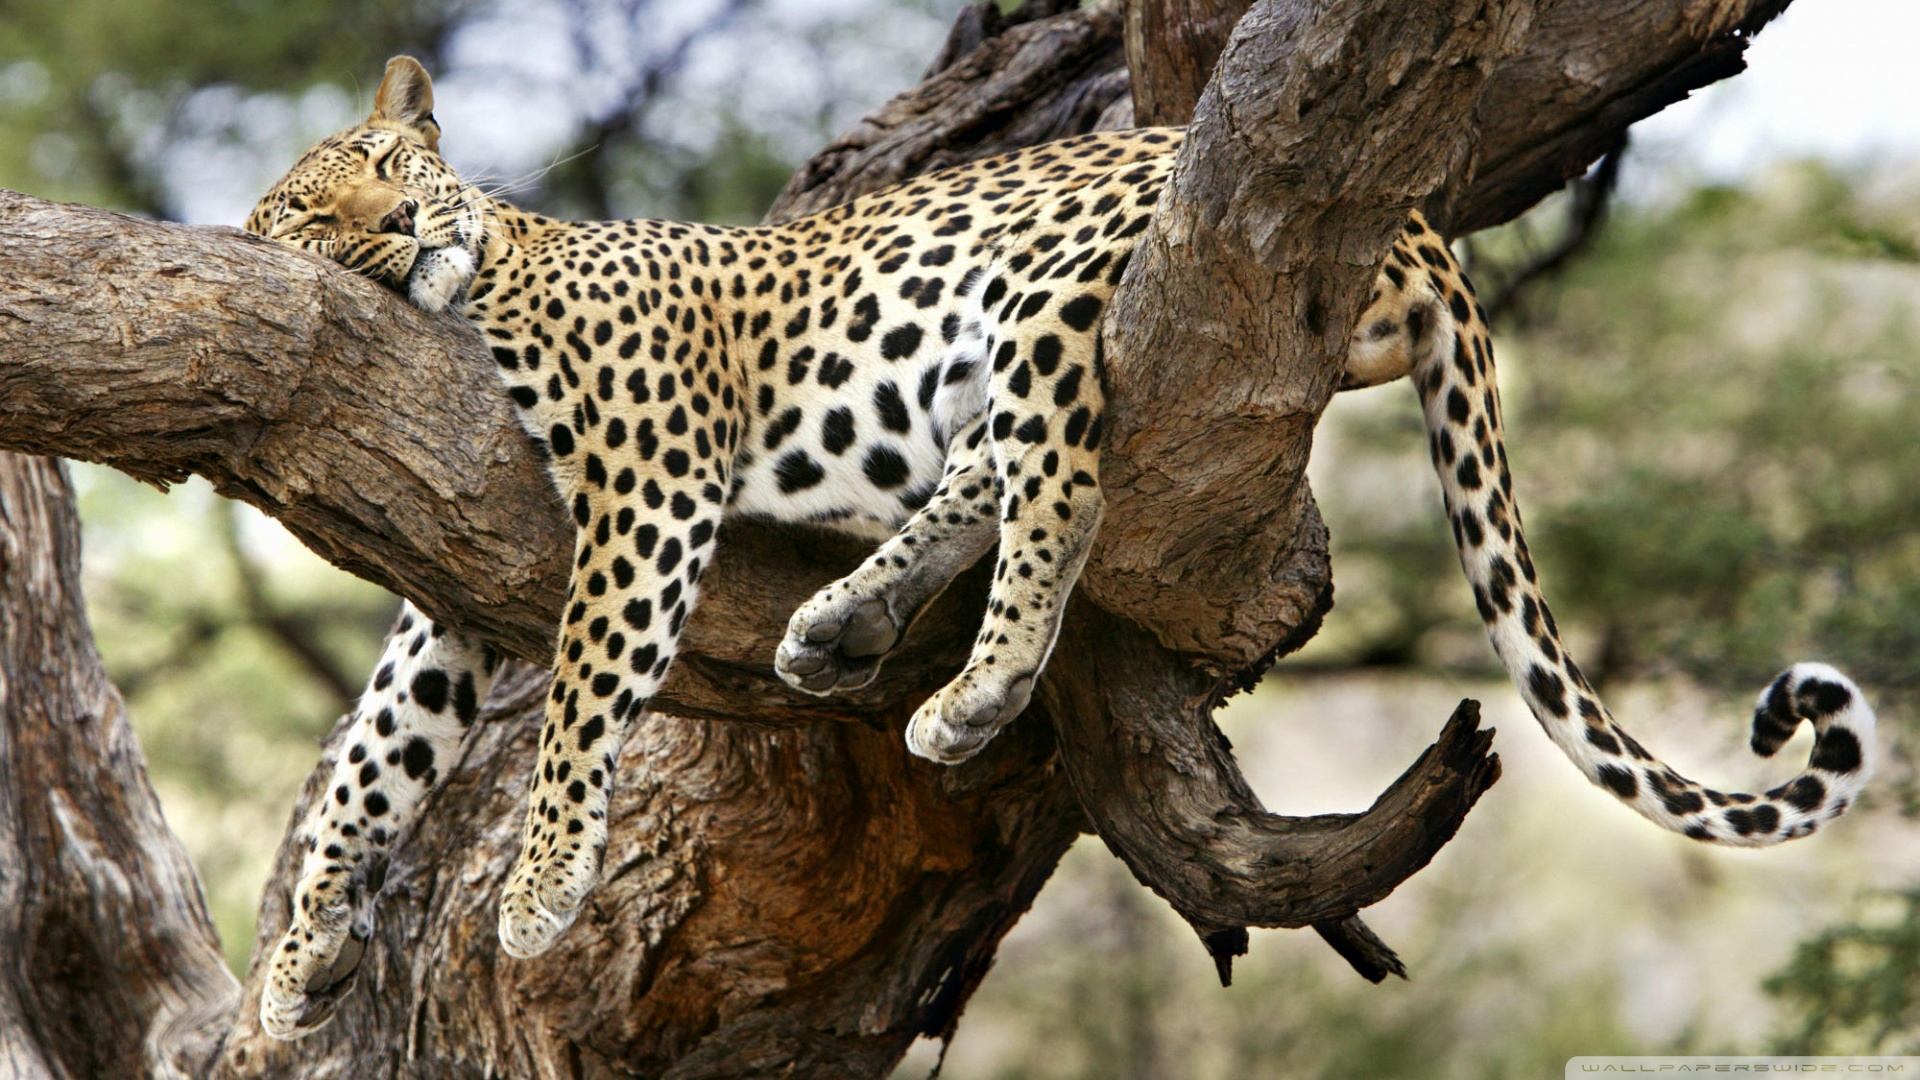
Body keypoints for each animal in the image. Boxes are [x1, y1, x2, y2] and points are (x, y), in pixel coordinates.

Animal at [247, 58, 1881, 1037]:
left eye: (392, 163)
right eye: (313, 216)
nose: (398, 226)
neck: (486, 278)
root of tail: (1419, 219)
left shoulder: (646, 484)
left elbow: (582, 696)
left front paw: (536, 888)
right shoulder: (454, 583)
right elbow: (376, 754)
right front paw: (296, 959)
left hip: (1040, 293)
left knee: (1065, 487)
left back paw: (969, 690)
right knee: (991, 470)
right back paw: (843, 623)